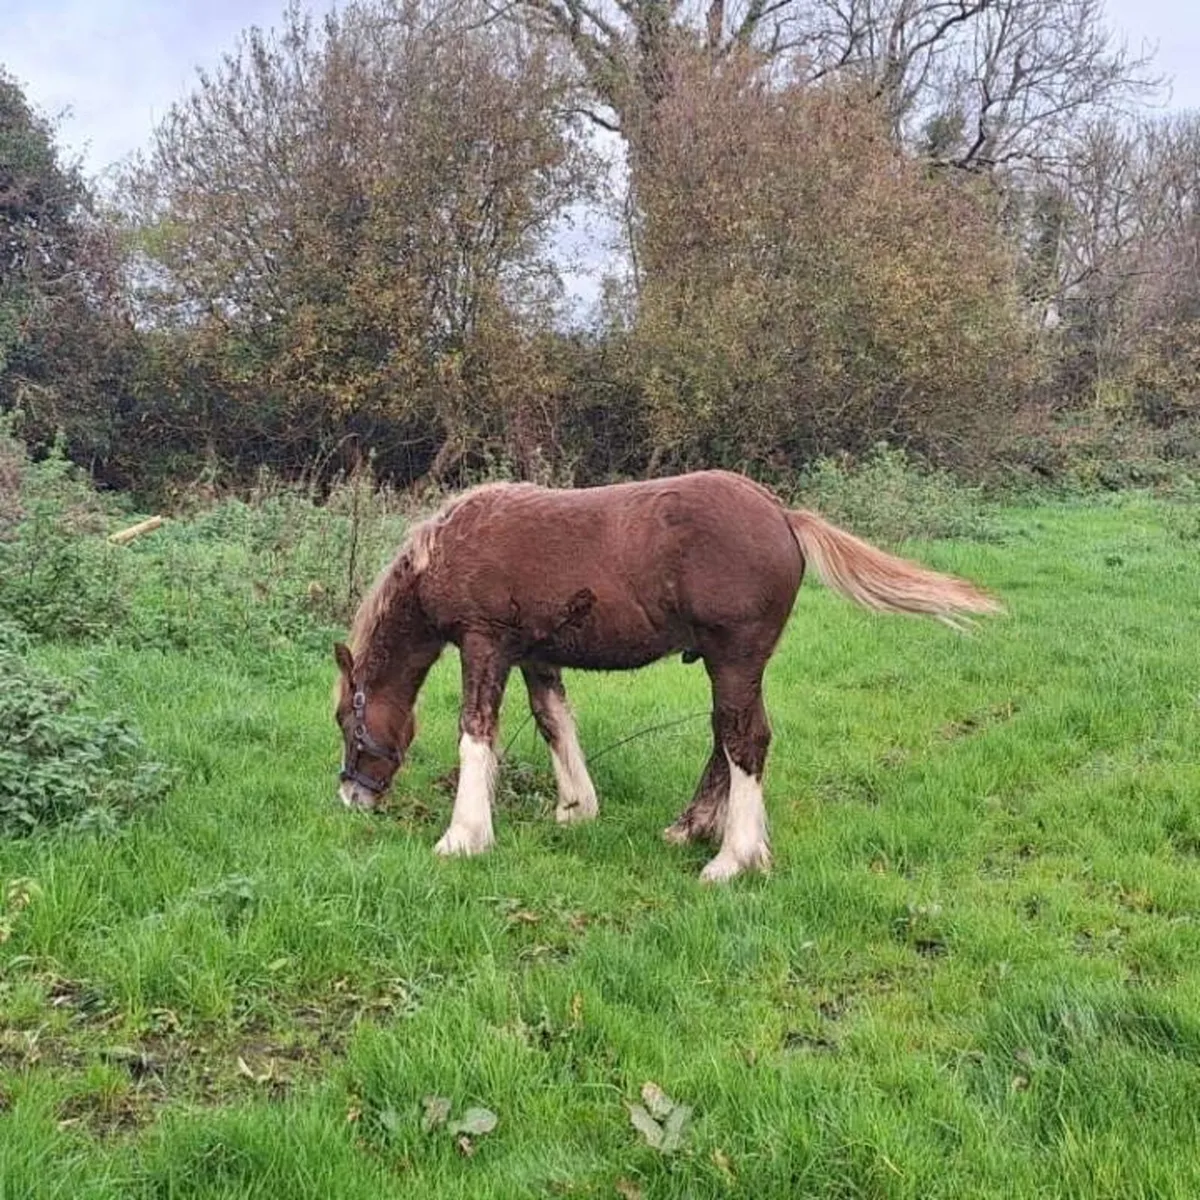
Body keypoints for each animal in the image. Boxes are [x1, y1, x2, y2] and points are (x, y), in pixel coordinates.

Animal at [333, 469, 1000, 882]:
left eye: (346, 720)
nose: (350, 797)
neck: (448, 549)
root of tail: (783, 515)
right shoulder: (535, 655)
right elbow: (555, 723)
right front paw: (576, 808)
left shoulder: (484, 644)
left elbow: (476, 733)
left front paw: (463, 836)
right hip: (733, 664)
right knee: (726, 736)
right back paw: (692, 828)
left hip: (735, 658)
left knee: (745, 739)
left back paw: (733, 859)